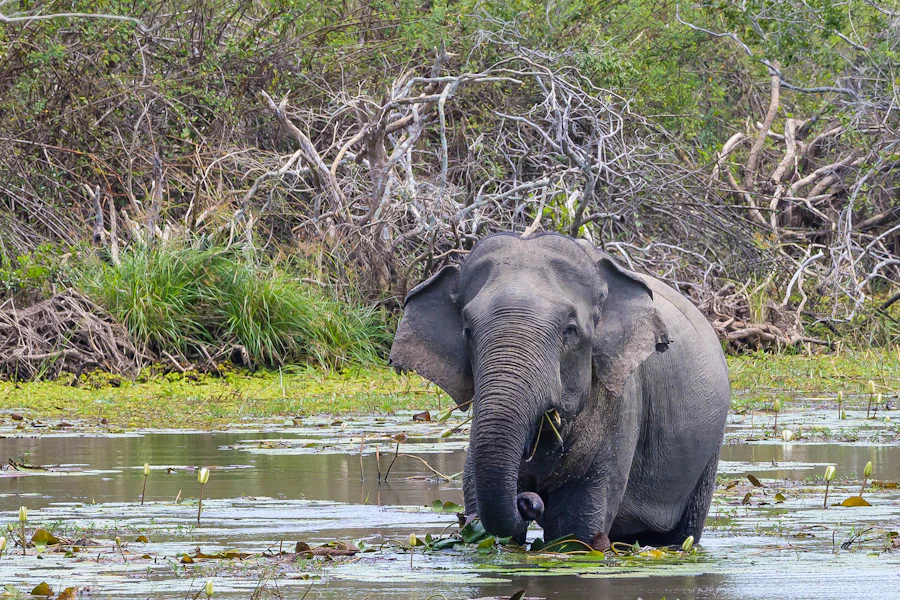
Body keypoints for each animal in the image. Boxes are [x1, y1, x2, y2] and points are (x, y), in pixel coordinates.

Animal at [389, 232, 730, 549]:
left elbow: (575, 531)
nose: (527, 500)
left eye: (570, 330)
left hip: (709, 450)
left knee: (680, 534)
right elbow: (480, 516)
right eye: (467, 330)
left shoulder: (623, 401)